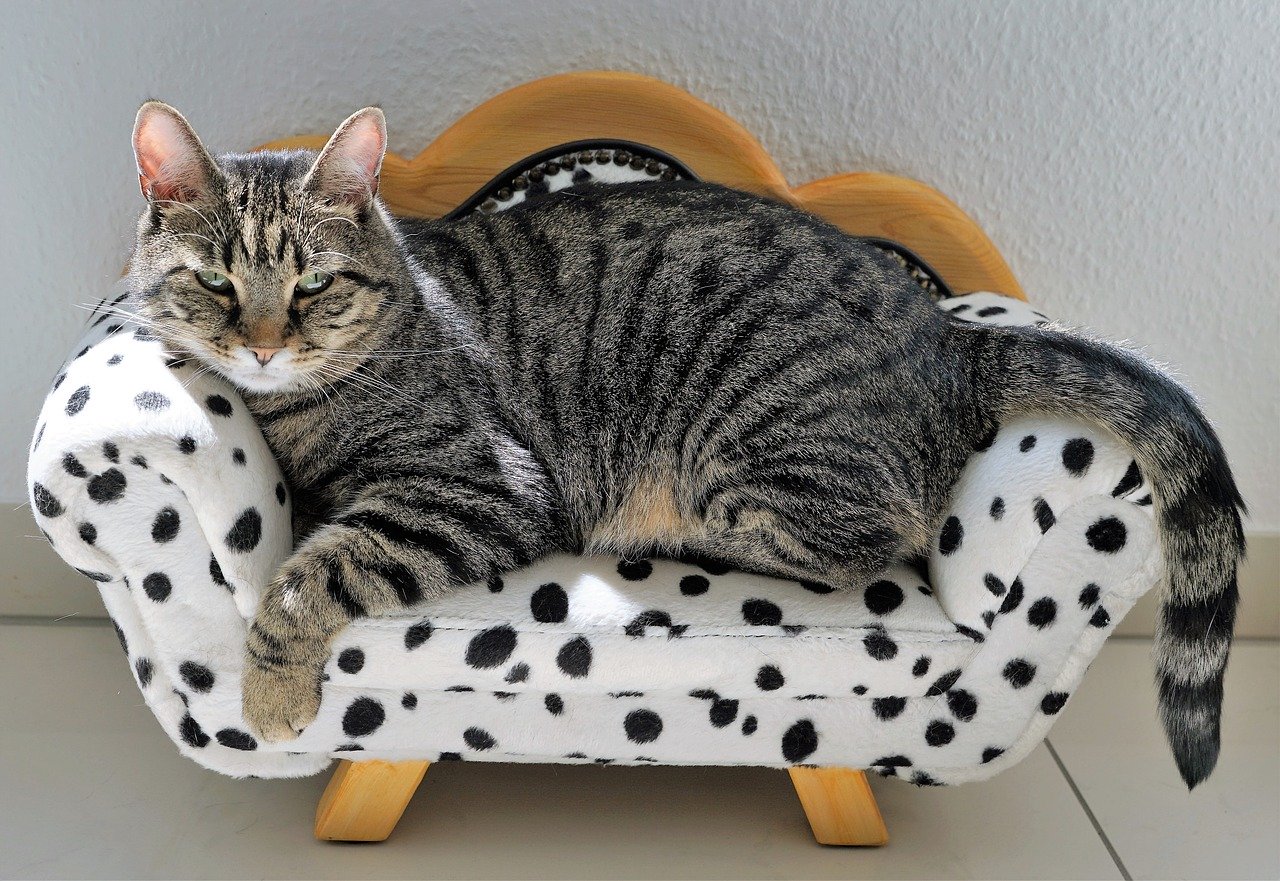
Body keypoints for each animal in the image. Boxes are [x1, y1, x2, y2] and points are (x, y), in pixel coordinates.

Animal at [124, 101, 1244, 783]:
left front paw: (271, 691)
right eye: (215, 280)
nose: (261, 342)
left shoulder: (487, 484)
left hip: (740, 455)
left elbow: (310, 572)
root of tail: (947, 329)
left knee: (867, 539)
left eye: (313, 283)